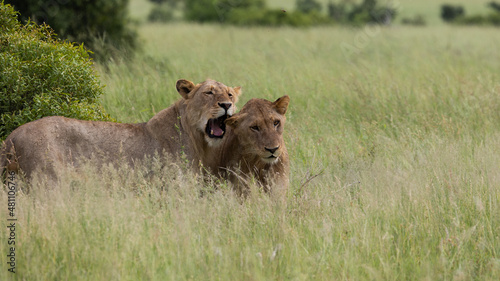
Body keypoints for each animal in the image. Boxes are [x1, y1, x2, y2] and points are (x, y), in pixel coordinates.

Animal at [0, 77, 242, 180]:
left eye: (230, 94)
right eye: (209, 93)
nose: (227, 105)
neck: (197, 138)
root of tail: (12, 136)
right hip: (46, 181)